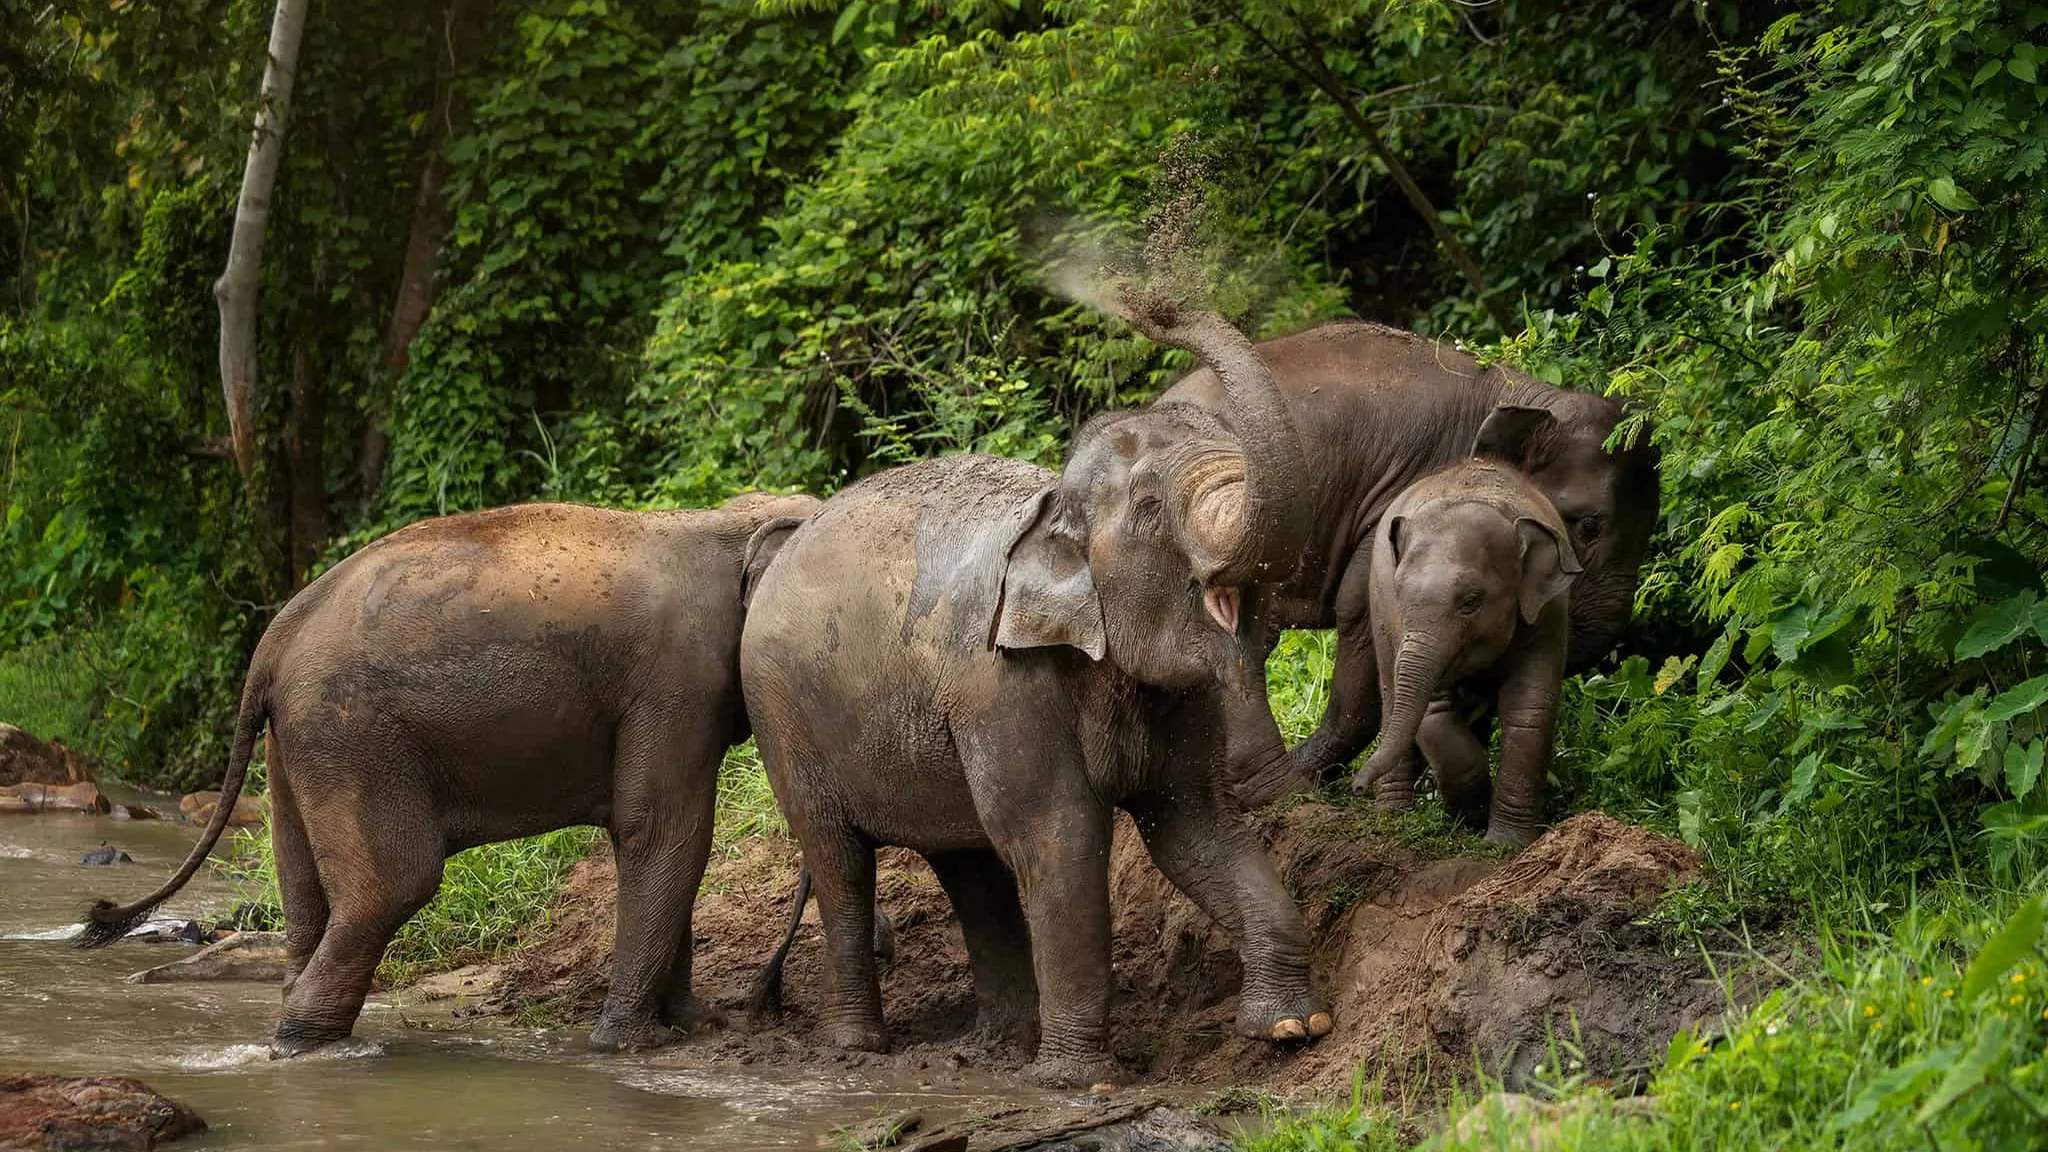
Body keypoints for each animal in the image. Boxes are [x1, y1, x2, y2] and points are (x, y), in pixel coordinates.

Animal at [78, 491, 819, 1058]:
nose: (763, 1002)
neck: (729, 521)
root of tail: (275, 637)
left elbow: (653, 837)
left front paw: (696, 1023)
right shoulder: (675, 684)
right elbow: (666, 832)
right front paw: (637, 1045)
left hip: (292, 747)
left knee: (304, 889)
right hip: (350, 734)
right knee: (394, 885)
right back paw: (306, 1045)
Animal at [739, 291, 1331, 1088]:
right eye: (1150, 511)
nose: (1156, 305)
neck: (1051, 509)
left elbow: (1197, 826)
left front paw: (1293, 1028)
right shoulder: (1004, 687)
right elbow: (1060, 837)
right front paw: (1080, 1080)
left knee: (969, 863)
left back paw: (1000, 1045)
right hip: (781, 714)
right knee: (839, 858)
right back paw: (859, 1047)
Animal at [1351, 435, 1583, 847]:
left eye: (1471, 602)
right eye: (1401, 594)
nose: (1356, 786)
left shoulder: (1549, 612)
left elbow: (1530, 705)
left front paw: (1504, 842)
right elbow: (1432, 709)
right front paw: (1472, 811)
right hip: (1377, 607)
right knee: (1393, 696)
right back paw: (1393, 815)